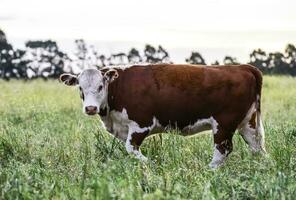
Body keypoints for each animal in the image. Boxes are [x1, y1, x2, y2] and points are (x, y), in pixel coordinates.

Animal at [59, 64, 266, 169]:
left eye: (100, 86)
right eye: (80, 88)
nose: (90, 108)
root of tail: (242, 67)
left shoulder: (141, 124)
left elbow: (131, 148)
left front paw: (152, 165)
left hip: (223, 123)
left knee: (223, 150)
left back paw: (209, 170)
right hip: (248, 123)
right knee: (258, 147)